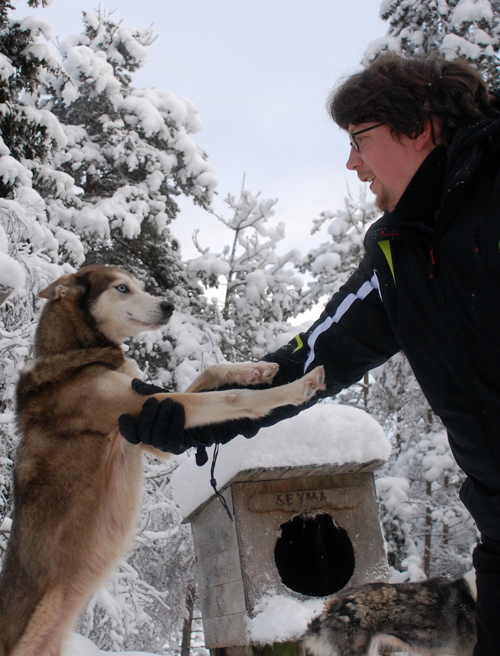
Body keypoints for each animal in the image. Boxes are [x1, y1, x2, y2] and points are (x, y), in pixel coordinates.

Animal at [0, 264, 326, 652]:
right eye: (122, 288)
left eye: (139, 285)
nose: (169, 306)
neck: (79, 353)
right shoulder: (140, 404)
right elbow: (234, 397)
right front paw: (298, 387)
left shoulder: (152, 421)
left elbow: (212, 373)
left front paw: (254, 370)